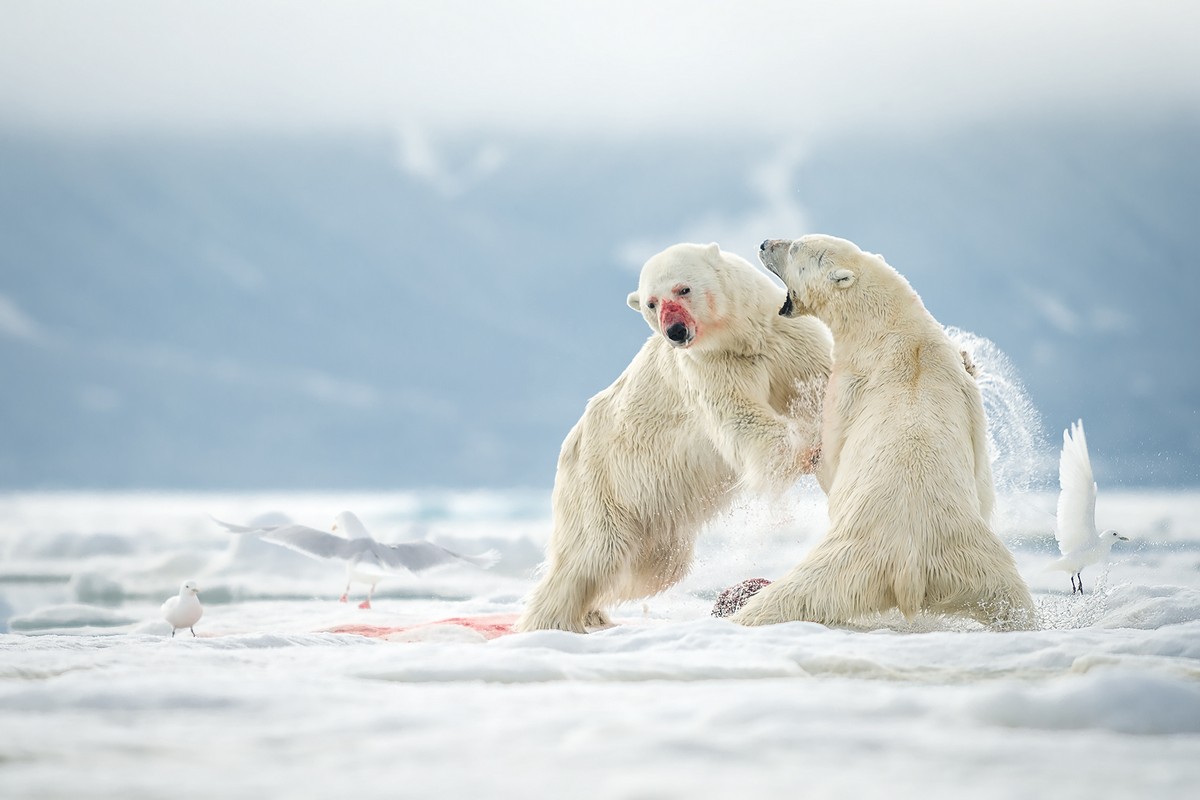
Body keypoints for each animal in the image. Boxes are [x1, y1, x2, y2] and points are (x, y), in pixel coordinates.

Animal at [516, 244, 835, 633]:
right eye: (651, 303)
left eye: (683, 289)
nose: (675, 331)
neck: (746, 339)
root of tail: (570, 444)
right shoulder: (708, 368)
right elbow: (740, 416)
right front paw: (803, 447)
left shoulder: (787, 341)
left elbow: (823, 379)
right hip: (603, 483)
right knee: (592, 555)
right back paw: (551, 621)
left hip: (654, 511)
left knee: (654, 566)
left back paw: (593, 612)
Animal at [734, 236, 1036, 633]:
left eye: (795, 247)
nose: (765, 243)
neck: (897, 329)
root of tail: (907, 565)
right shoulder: (964, 392)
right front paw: (970, 357)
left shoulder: (850, 383)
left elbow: (836, 451)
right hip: (971, 565)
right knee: (1011, 602)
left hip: (855, 560)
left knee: (788, 596)